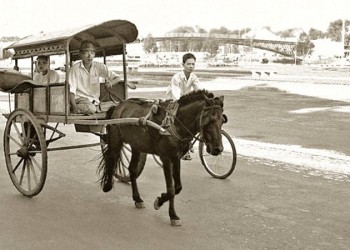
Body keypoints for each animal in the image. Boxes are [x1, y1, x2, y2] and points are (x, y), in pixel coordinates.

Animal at [97, 90, 226, 227]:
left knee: (132, 169)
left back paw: (137, 198)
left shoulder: (176, 157)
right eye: (209, 120)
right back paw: (107, 186)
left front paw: (163, 203)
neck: (175, 122)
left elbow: (178, 187)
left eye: (222, 121)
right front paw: (169, 212)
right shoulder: (166, 158)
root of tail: (118, 105)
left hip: (136, 146)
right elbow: (170, 189)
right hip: (116, 140)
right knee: (111, 159)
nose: (218, 149)